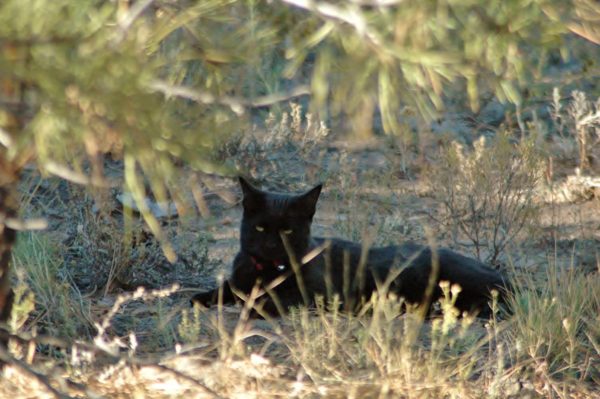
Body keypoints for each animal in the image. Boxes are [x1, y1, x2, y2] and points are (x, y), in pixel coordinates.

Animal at [192, 178, 510, 318]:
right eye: (260, 228)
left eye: (287, 231)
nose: (271, 244)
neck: (267, 271)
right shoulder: (239, 277)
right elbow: (228, 288)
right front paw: (203, 297)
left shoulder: (319, 293)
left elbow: (276, 299)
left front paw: (256, 305)